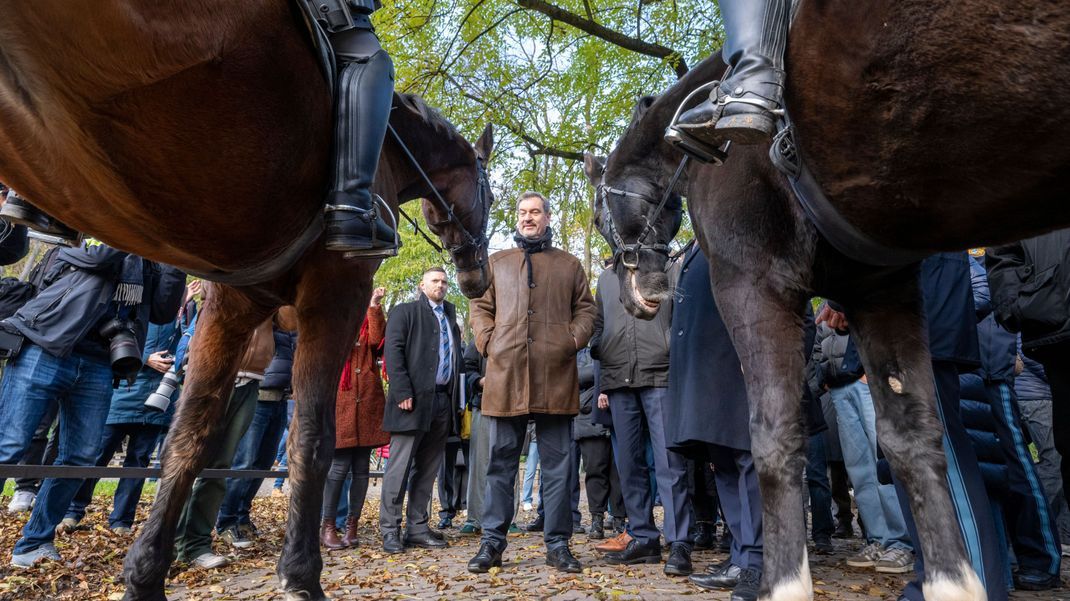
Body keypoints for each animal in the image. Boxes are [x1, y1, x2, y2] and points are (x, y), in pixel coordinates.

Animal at [0, 2, 492, 594]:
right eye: (489, 194)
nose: (478, 279)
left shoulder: (231, 302)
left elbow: (190, 434)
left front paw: (145, 574)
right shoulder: (336, 293)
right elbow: (311, 437)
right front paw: (300, 576)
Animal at [590, 1, 1070, 594]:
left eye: (598, 218)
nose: (644, 296)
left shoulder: (752, 284)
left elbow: (774, 438)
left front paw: (781, 583)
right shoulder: (881, 287)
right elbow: (912, 439)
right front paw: (952, 582)